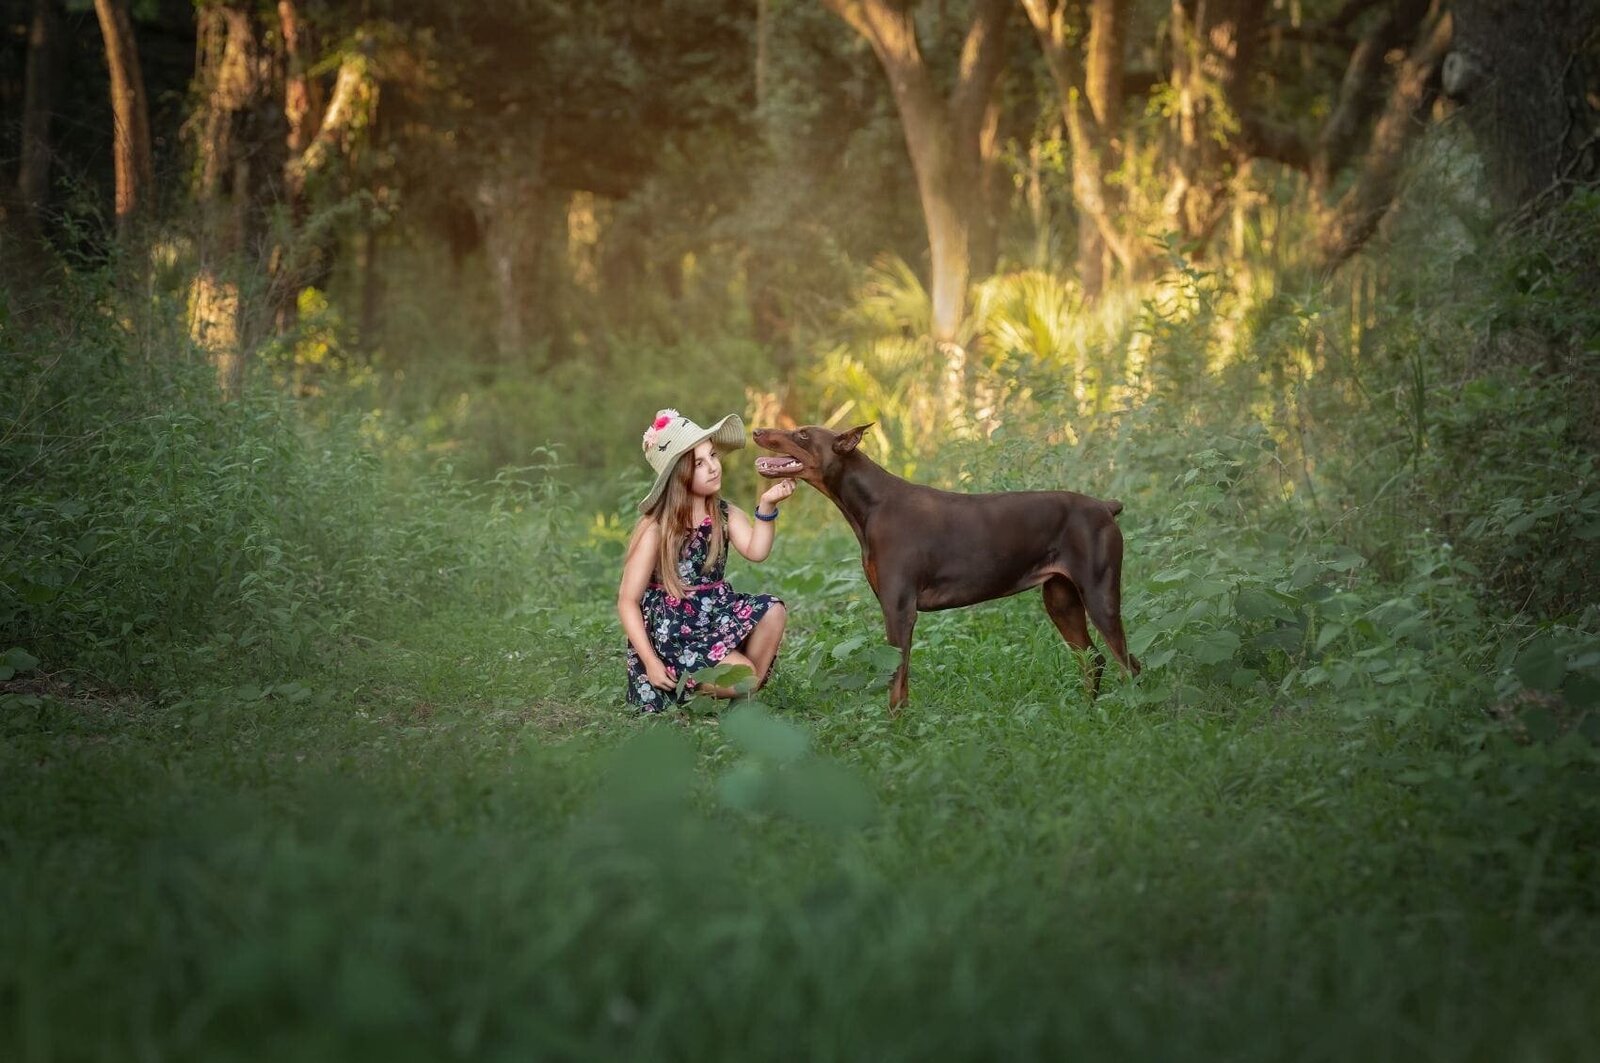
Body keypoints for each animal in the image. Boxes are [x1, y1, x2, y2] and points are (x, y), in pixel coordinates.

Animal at [752, 419, 1139, 710]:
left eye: (803, 434)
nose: (756, 430)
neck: (872, 504)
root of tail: (1105, 507)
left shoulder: (899, 609)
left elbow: (897, 684)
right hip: (1061, 600)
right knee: (1095, 659)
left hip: (1100, 595)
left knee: (1129, 665)